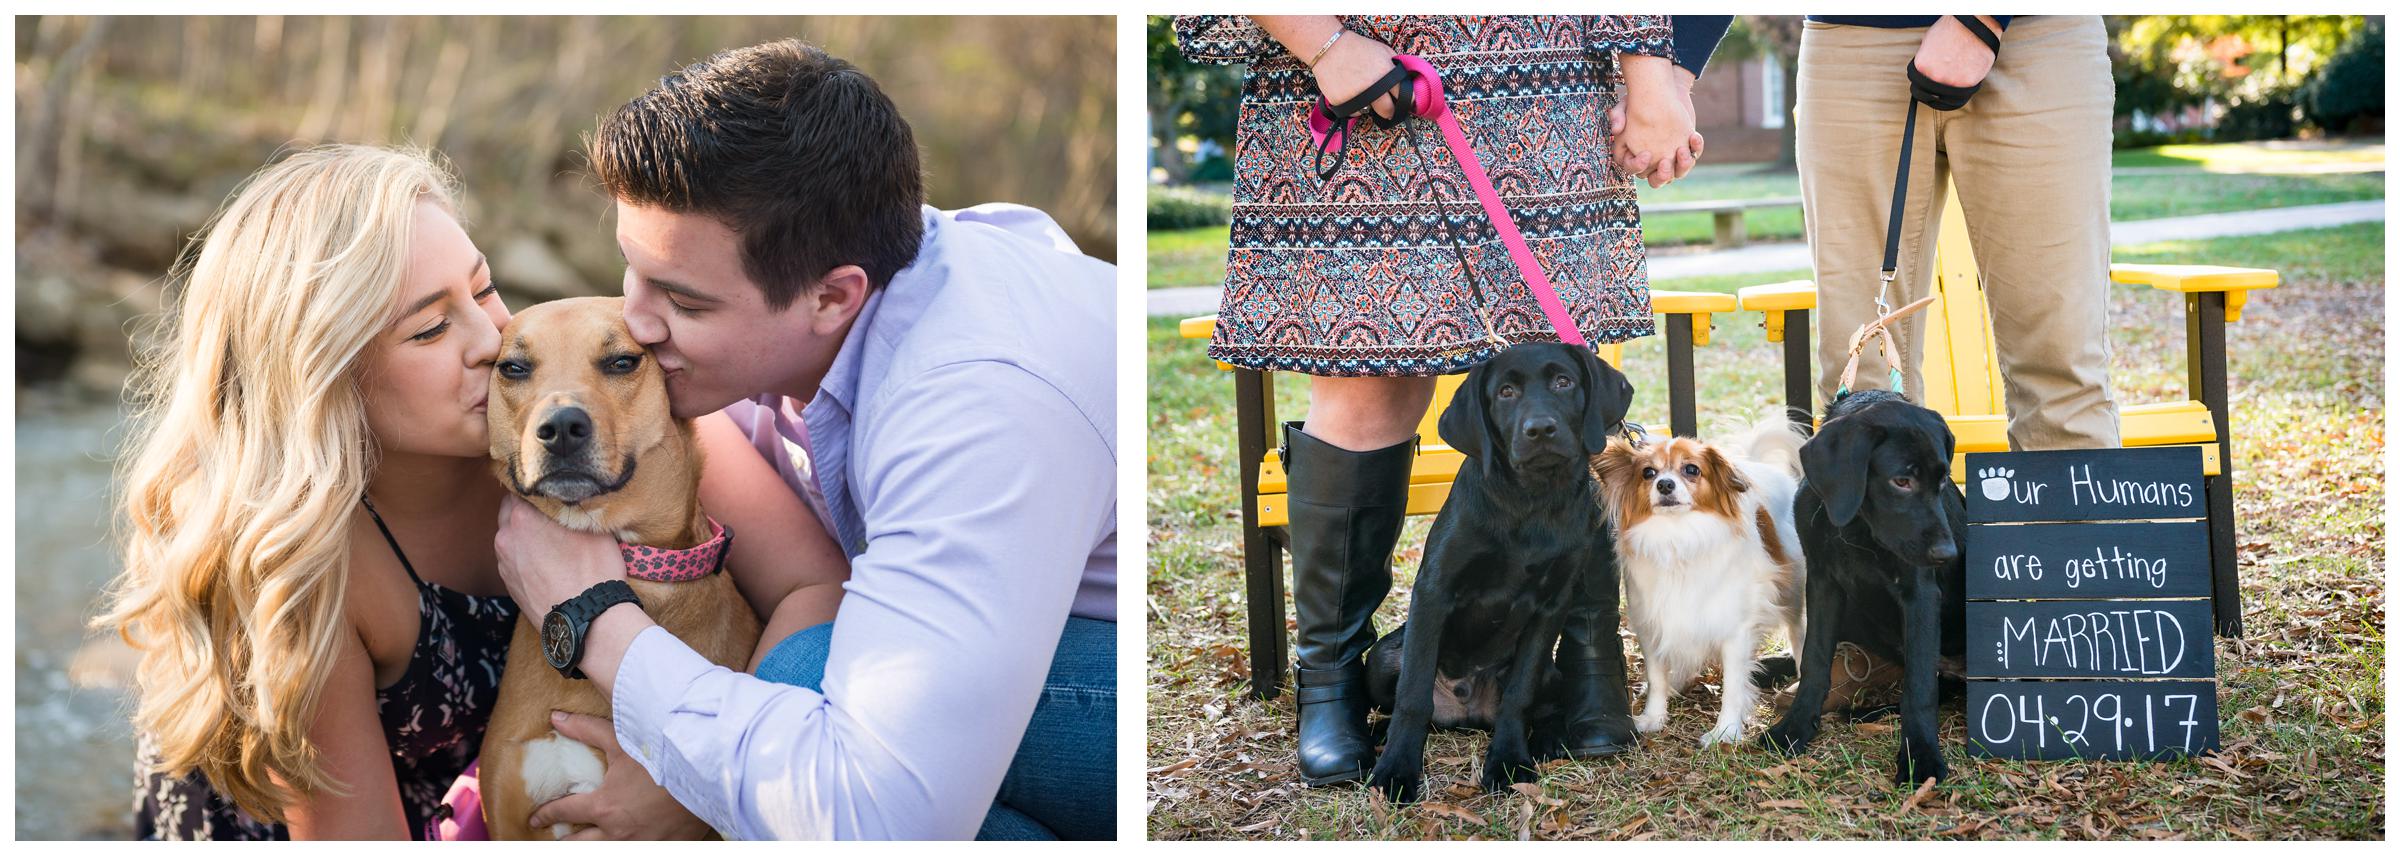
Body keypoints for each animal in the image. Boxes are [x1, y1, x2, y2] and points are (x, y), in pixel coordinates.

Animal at [1593, 412, 1804, 738]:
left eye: (1691, 469)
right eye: (1648, 473)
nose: (1665, 485)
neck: (1678, 537)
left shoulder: (1735, 629)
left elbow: (1733, 685)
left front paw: (1725, 732)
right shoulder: (1651, 625)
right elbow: (1657, 676)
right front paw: (1653, 717)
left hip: (1793, 594)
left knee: (1799, 634)